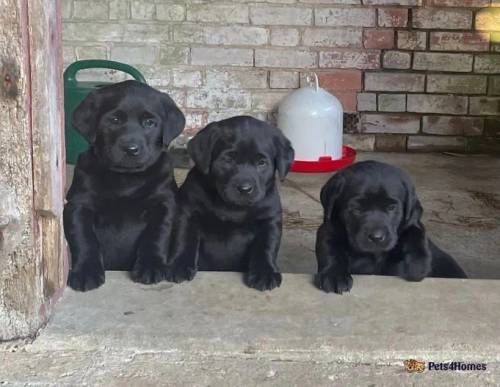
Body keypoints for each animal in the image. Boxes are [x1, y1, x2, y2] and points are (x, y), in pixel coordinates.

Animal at [64, 80, 186, 292]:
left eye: (150, 123)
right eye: (114, 120)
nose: (131, 149)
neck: (126, 179)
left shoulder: (164, 203)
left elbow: (156, 235)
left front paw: (151, 267)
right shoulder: (78, 204)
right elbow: (83, 238)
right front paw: (86, 272)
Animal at [166, 115, 294, 292]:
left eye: (262, 163)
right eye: (228, 160)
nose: (245, 188)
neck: (231, 207)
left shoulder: (269, 219)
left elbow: (266, 246)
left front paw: (265, 273)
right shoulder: (188, 212)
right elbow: (184, 239)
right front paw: (179, 265)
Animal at [316, 161, 464, 294]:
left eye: (392, 208)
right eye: (356, 209)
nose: (376, 237)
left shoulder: (411, 222)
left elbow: (416, 234)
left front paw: (417, 266)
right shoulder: (329, 229)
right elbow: (330, 250)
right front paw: (335, 275)